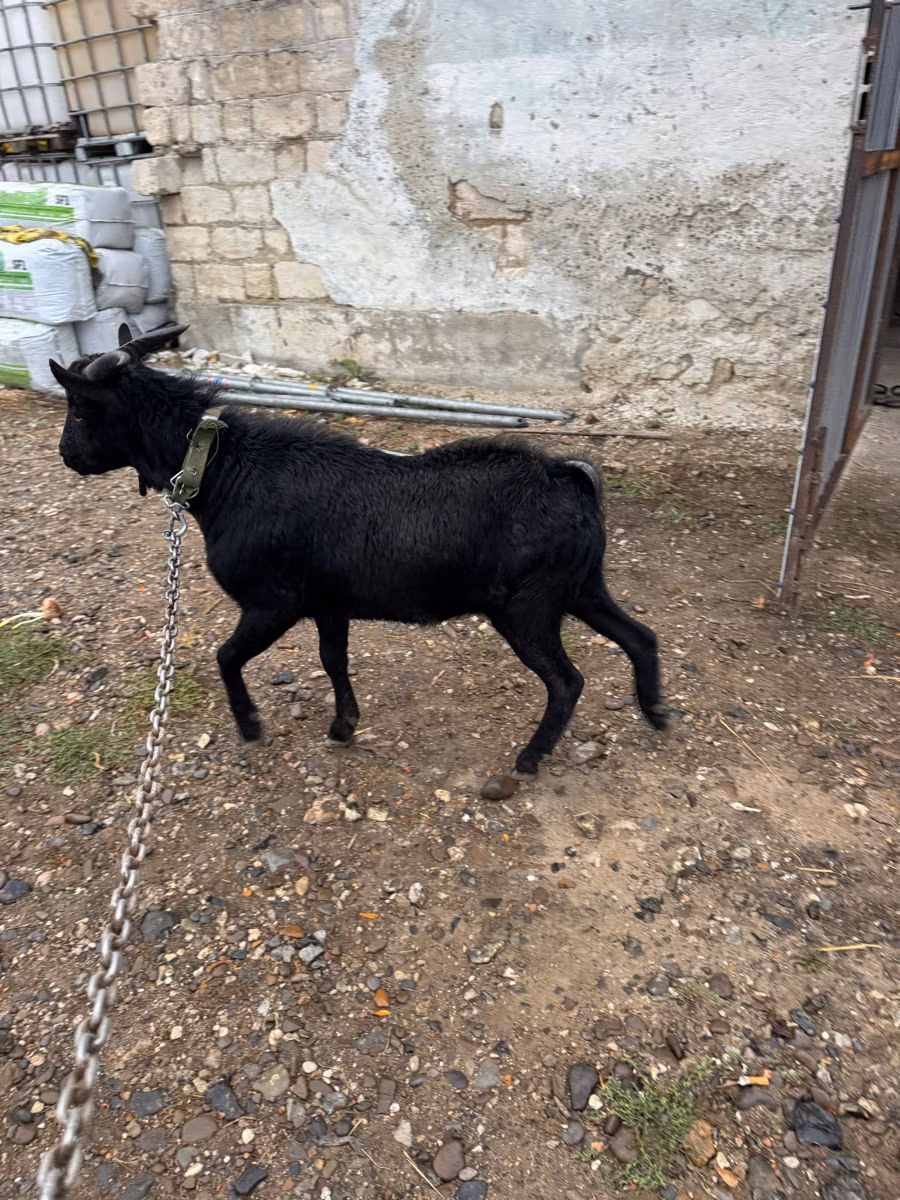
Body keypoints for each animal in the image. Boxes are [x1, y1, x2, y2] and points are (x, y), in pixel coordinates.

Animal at [51, 325, 669, 775]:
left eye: (79, 409)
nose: (67, 456)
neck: (224, 472)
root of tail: (569, 478)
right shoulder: (330, 603)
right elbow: (333, 660)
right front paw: (343, 725)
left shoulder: (273, 602)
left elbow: (226, 657)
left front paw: (250, 724)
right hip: (580, 587)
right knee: (641, 637)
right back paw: (657, 712)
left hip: (528, 608)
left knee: (568, 682)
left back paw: (529, 759)